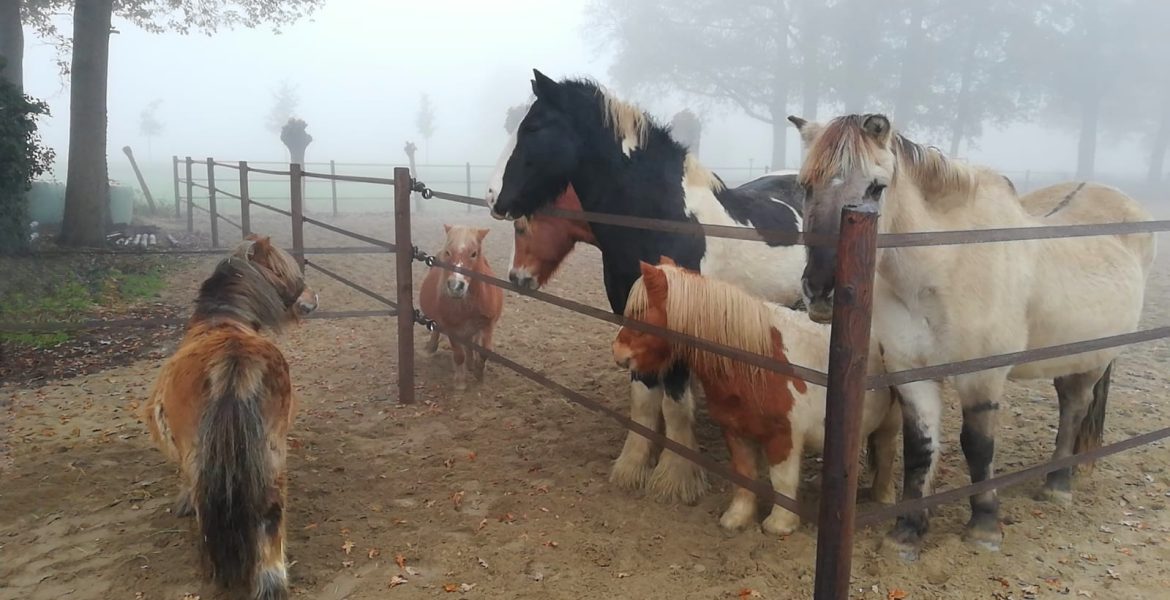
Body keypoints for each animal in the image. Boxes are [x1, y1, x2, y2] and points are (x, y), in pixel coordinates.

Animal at [142, 232, 320, 598]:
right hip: (271, 454)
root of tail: (234, 363)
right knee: (271, 511)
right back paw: (271, 580)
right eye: (280, 271)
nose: (313, 298)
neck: (221, 320)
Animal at [421, 223, 503, 388]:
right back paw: (431, 348)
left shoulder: (487, 324)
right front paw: (460, 382)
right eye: (448, 252)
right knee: (437, 332)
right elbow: (459, 355)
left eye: (474, 253)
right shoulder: (451, 328)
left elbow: (485, 350)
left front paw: (478, 372)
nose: (455, 286)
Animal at [482, 67, 804, 502]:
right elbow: (644, 400)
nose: (492, 197)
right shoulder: (634, 321)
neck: (664, 220)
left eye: (532, 127)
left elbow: (675, 404)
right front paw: (633, 466)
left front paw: (676, 477)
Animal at [608, 257, 898, 533]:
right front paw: (738, 517)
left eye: (639, 311)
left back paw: (883, 498)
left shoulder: (784, 436)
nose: (618, 353)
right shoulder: (735, 432)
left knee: (886, 454)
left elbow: (782, 479)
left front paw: (780, 524)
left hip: (889, 422)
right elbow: (744, 474)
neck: (758, 364)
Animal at [790, 113, 1155, 561]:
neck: (946, 265)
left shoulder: (981, 377)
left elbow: (977, 446)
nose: (821, 290)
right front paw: (907, 530)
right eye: (805, 186)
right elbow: (919, 448)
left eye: (876, 187)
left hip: (1094, 358)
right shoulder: (911, 373)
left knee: (1075, 408)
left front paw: (984, 526)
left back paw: (1058, 485)